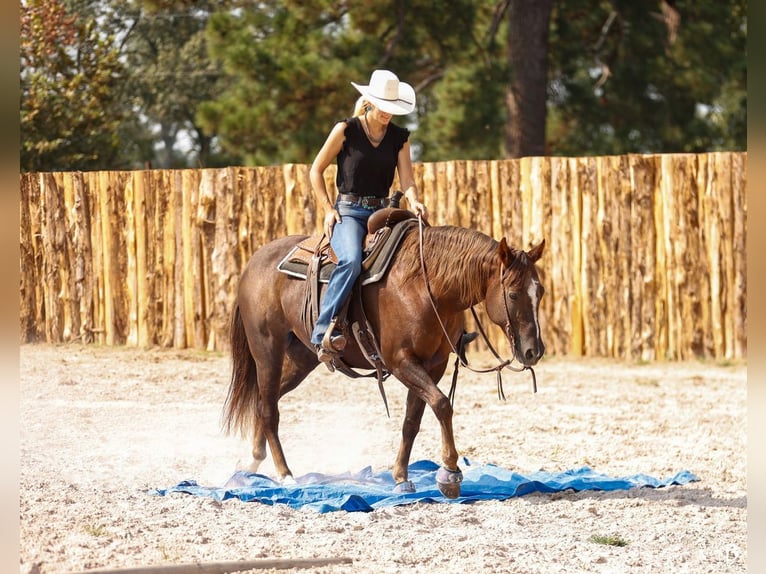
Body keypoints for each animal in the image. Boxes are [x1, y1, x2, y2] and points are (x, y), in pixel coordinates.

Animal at [224, 219, 545, 498]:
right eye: (513, 294)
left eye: (539, 291)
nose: (534, 351)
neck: (427, 285)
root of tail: (254, 262)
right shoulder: (401, 361)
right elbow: (442, 404)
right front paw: (450, 473)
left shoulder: (433, 365)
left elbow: (412, 420)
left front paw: (401, 477)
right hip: (267, 350)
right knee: (269, 409)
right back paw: (285, 474)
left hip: (301, 358)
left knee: (266, 400)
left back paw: (253, 464)